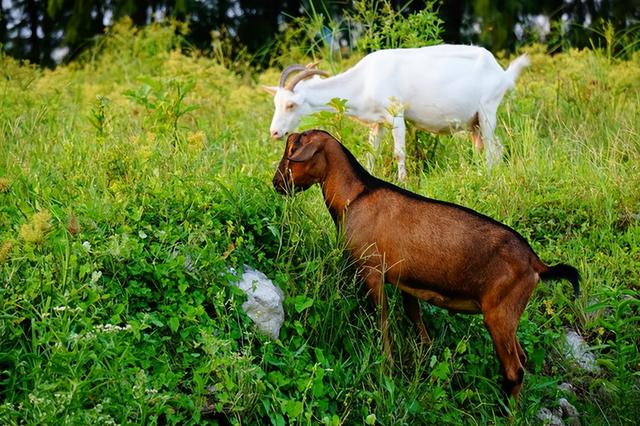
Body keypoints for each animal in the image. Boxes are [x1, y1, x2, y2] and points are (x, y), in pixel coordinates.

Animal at [264, 44, 528, 180]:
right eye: (276, 103)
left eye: (291, 105)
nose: (275, 132)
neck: (364, 80)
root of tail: (502, 74)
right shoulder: (377, 123)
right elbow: (371, 153)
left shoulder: (396, 114)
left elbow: (400, 152)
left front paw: (403, 181)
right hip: (475, 123)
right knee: (493, 147)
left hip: (487, 111)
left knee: (492, 149)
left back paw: (488, 176)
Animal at [272, 130, 584, 402]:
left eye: (291, 154)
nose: (277, 183)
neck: (357, 195)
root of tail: (536, 262)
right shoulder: (405, 281)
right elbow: (415, 319)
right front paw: (423, 358)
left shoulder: (372, 271)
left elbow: (382, 322)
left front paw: (386, 365)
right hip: (508, 315)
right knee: (522, 357)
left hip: (499, 313)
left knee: (514, 370)